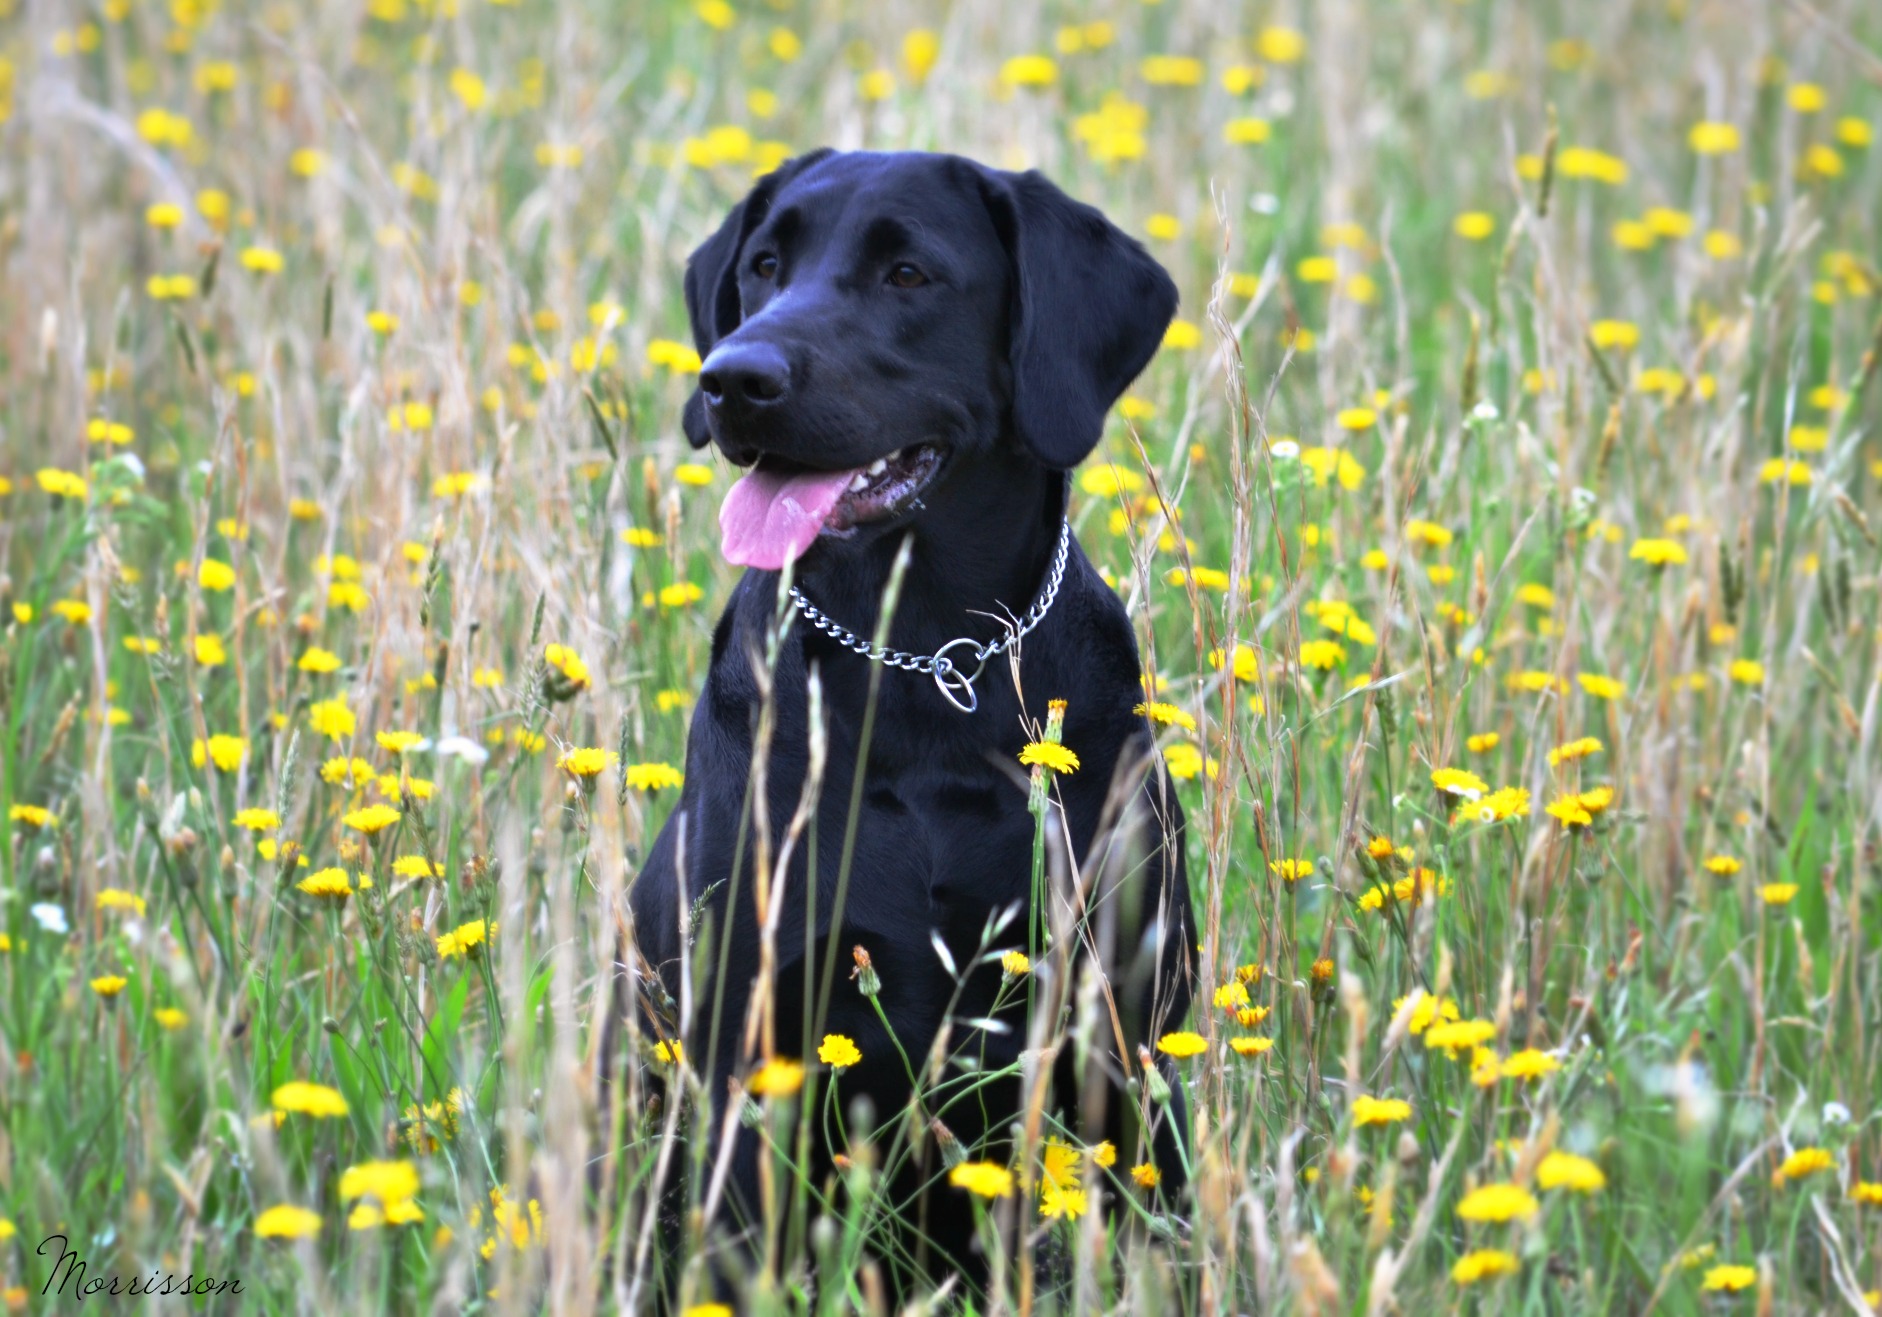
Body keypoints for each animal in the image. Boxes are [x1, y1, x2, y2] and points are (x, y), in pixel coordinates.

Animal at [624, 149, 1196, 1294]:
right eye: (764, 265)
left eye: (907, 274)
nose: (733, 379)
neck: (930, 668)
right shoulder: (750, 1049)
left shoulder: (1128, 1032)